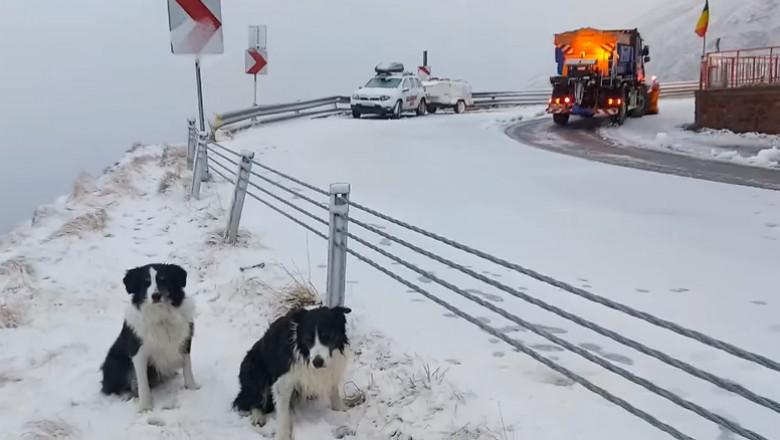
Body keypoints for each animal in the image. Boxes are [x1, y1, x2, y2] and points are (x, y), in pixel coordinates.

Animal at [100, 262, 198, 410]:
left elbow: (188, 367)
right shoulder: (139, 353)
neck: (160, 316)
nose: (156, 295)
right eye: (146, 282)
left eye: (163, 279)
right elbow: (142, 382)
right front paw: (145, 407)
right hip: (116, 362)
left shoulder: (185, 342)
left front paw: (192, 389)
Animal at [233, 306, 352, 440]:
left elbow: (334, 389)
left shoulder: (331, 368)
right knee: (250, 399)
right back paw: (257, 416)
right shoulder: (283, 382)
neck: (304, 353)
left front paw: (340, 409)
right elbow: (283, 414)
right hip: (254, 369)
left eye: (327, 336)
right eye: (308, 339)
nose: (317, 362)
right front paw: (283, 436)